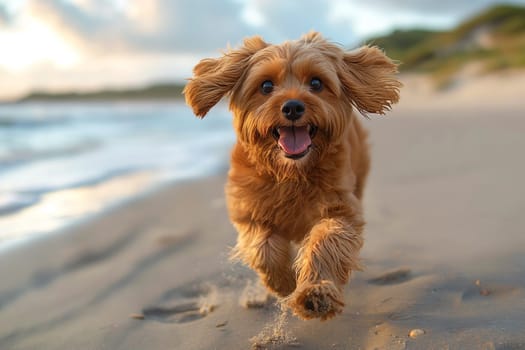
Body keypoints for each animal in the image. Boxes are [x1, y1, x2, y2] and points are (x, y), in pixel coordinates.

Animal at [182, 32, 400, 320]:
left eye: (316, 83)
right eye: (266, 86)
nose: (293, 107)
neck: (291, 174)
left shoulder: (341, 209)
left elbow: (326, 241)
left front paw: (315, 292)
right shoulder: (249, 211)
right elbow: (264, 248)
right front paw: (284, 282)